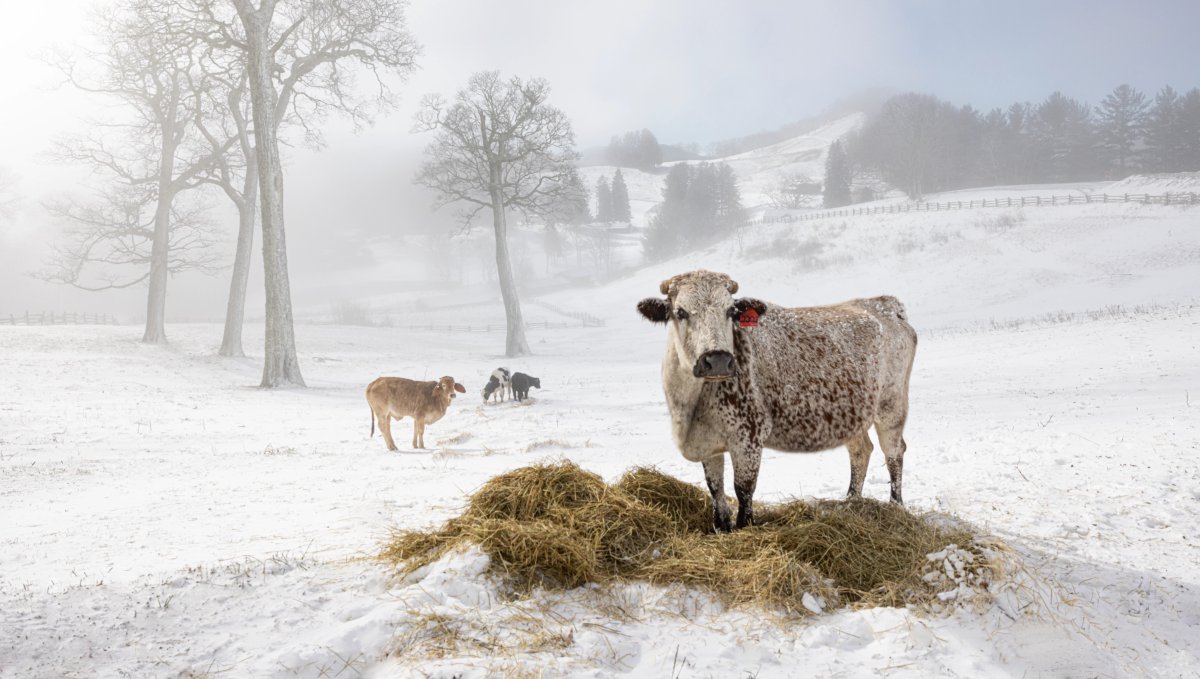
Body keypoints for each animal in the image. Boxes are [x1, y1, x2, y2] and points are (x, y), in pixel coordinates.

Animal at [638, 269, 916, 532]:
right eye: (680, 312)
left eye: (730, 311)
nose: (717, 359)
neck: (691, 407)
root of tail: (887, 306)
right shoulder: (709, 443)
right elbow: (716, 489)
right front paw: (721, 527)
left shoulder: (748, 437)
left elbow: (743, 490)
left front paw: (744, 527)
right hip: (851, 414)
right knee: (861, 451)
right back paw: (850, 502)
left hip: (891, 406)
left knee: (894, 452)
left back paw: (895, 507)